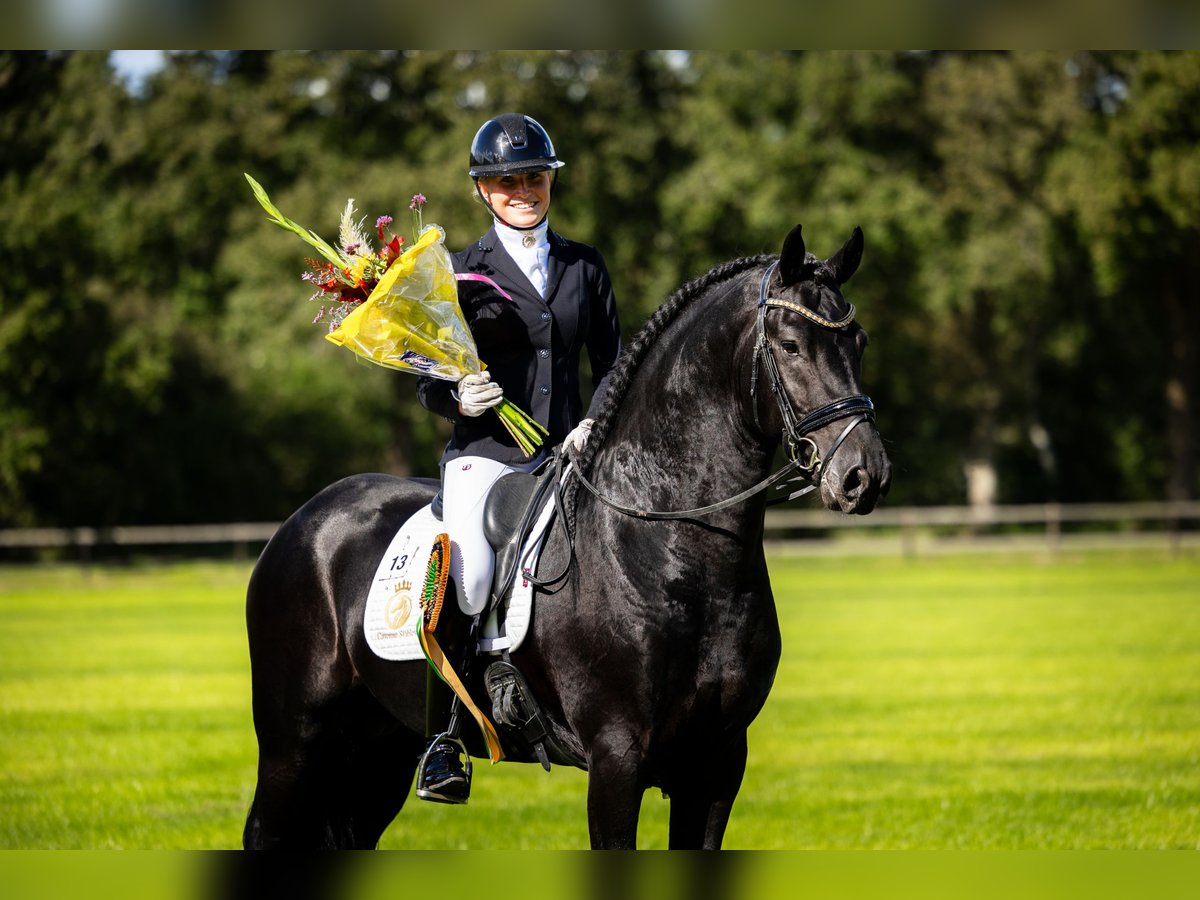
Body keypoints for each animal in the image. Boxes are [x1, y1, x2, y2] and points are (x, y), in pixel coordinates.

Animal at [243, 225, 892, 854]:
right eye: (791, 346)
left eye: (859, 343)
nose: (865, 475)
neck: (671, 545)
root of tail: (304, 520)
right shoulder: (617, 756)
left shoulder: (718, 761)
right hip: (292, 742)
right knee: (262, 831)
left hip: (377, 750)